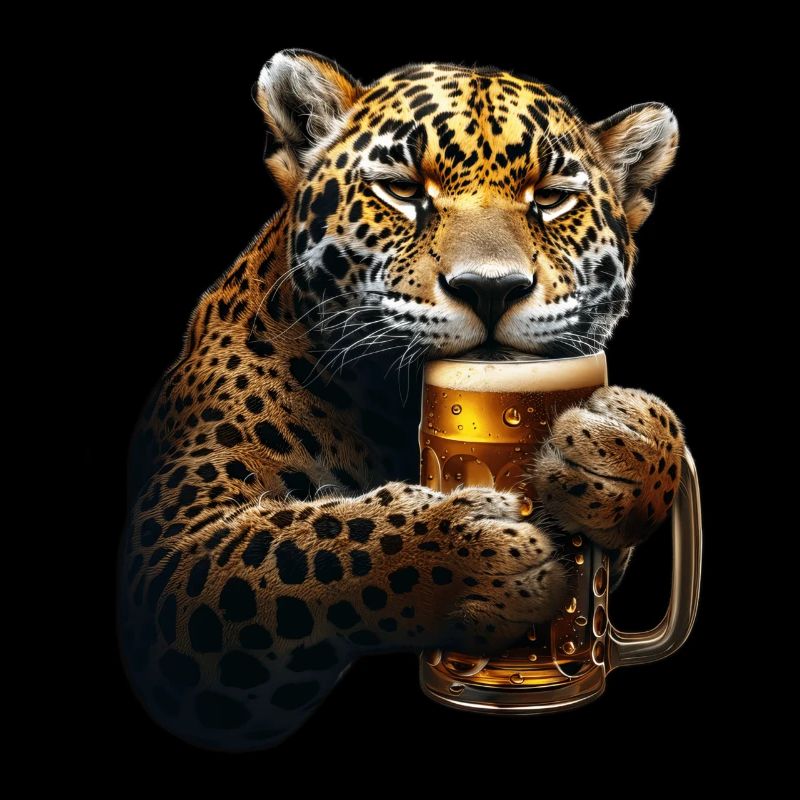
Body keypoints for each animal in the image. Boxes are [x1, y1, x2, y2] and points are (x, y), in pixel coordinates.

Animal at [118, 49, 684, 751]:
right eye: (404, 189)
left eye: (552, 199)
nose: (491, 289)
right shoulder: (168, 559)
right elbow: (304, 549)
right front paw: (472, 552)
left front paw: (625, 447)